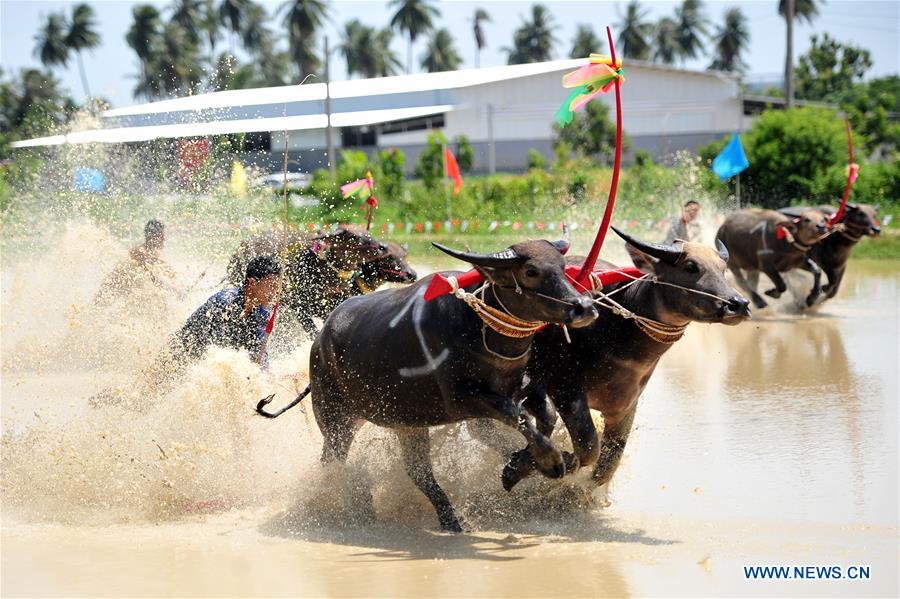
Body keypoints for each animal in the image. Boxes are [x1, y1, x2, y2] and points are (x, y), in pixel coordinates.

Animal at [310, 239, 596, 536]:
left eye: (562, 267)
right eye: (531, 271)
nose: (584, 307)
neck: (481, 328)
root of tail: (320, 340)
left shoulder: (517, 385)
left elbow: (545, 415)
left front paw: (520, 466)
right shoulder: (461, 400)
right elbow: (516, 415)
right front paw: (549, 461)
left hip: (407, 423)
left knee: (419, 472)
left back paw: (450, 519)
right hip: (335, 419)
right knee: (334, 459)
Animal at [488, 230, 748, 492]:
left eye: (723, 268)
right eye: (691, 266)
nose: (738, 304)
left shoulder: (624, 408)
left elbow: (606, 465)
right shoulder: (565, 389)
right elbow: (588, 445)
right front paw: (535, 465)